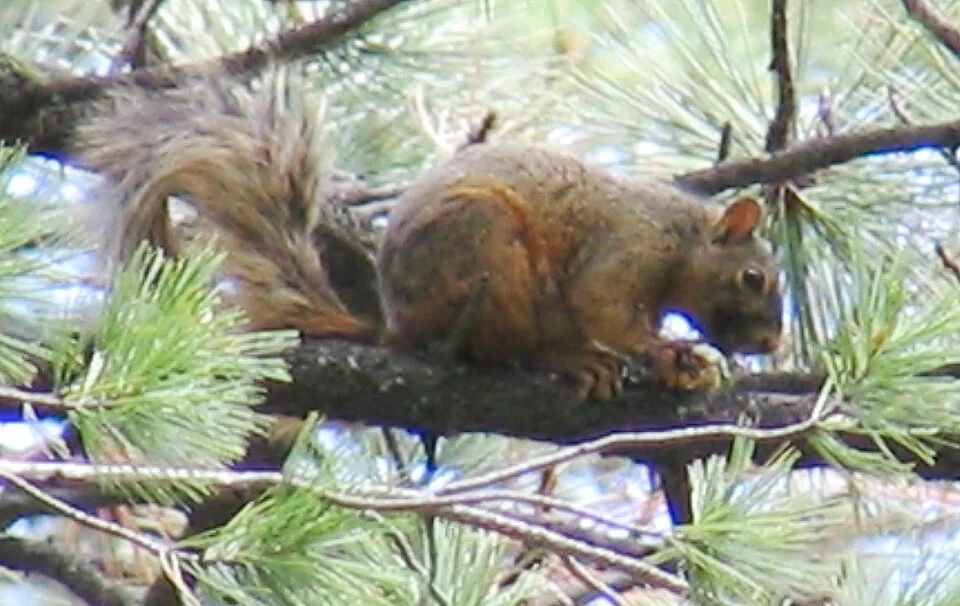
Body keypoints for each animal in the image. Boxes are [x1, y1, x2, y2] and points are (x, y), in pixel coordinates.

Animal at [74, 74, 783, 400]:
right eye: (754, 278)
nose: (772, 344)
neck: (682, 238)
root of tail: (396, 327)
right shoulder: (627, 248)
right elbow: (605, 305)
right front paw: (664, 350)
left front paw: (691, 365)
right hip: (487, 249)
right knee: (504, 347)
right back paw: (566, 358)